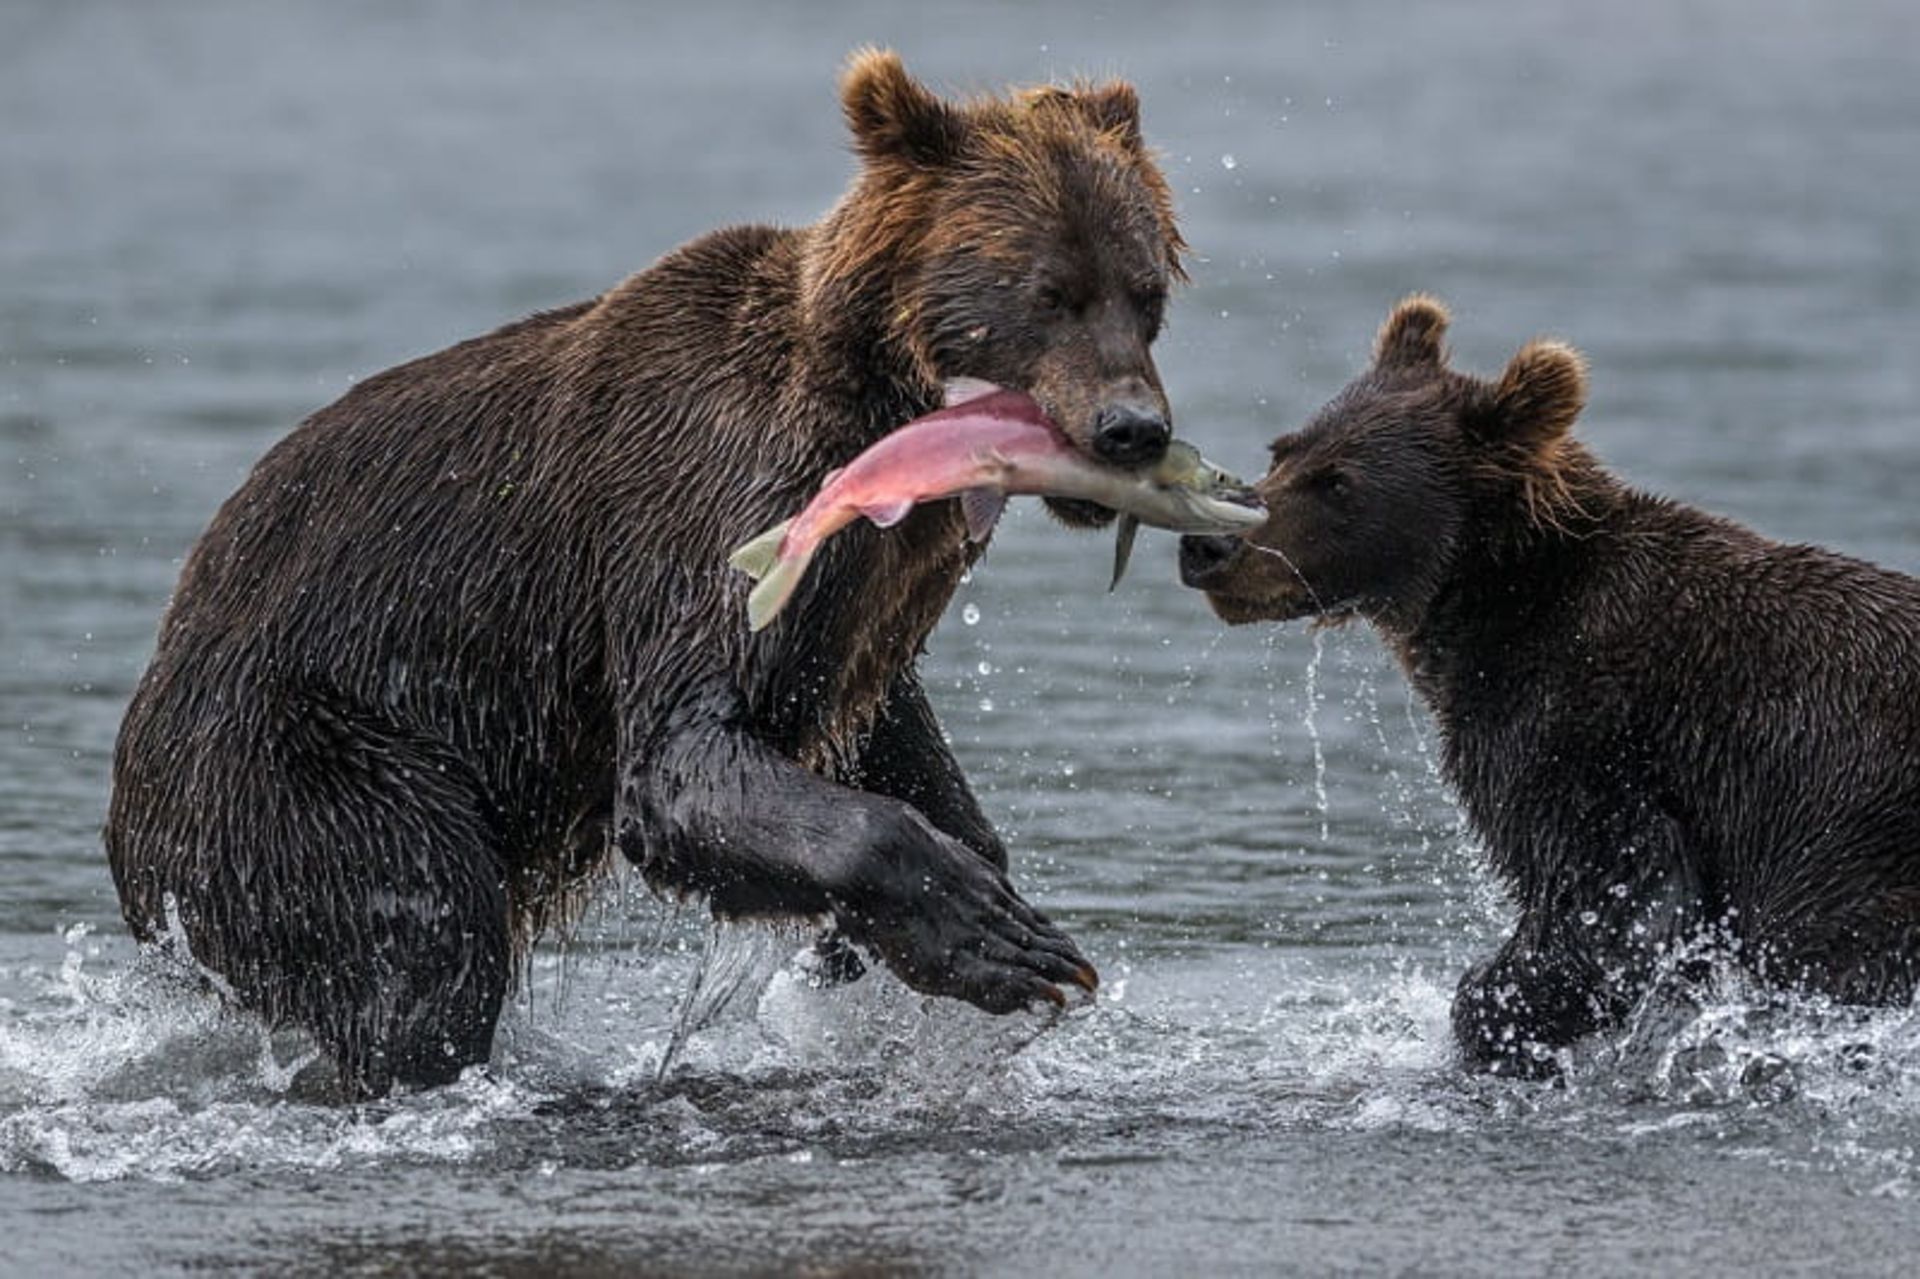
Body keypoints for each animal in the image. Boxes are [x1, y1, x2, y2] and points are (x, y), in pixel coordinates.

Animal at [108, 52, 1182, 1098]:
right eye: (1048, 291)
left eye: (1147, 292)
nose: (1132, 428)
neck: (880, 419)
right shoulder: (713, 501)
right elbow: (681, 759)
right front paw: (996, 934)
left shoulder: (861, 599)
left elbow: (866, 729)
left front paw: (887, 940)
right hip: (300, 760)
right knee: (420, 935)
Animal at [1182, 299, 1920, 1075]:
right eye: (1283, 450)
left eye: (1340, 482)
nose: (1210, 546)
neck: (1495, 604)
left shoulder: (1592, 737)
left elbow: (1616, 906)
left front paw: (1493, 1016)